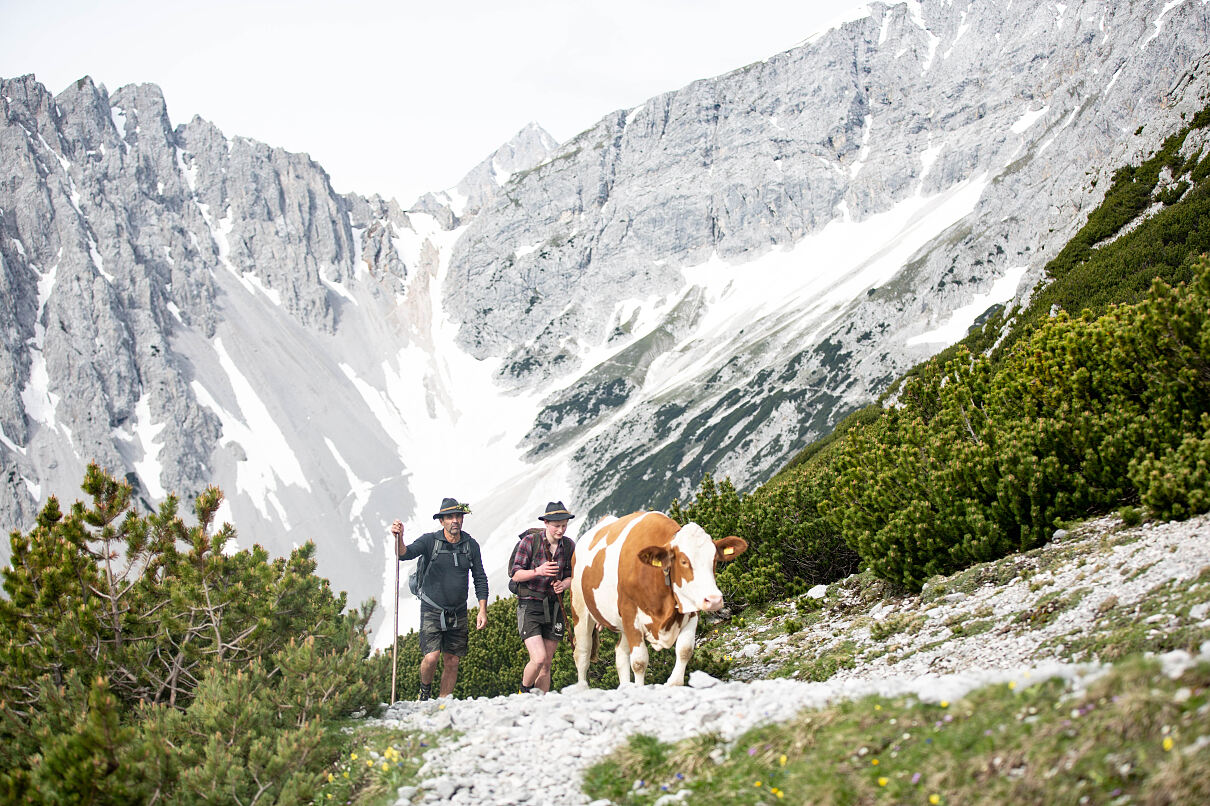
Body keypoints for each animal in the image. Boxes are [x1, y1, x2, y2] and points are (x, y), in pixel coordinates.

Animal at [568, 508, 745, 682]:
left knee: (620, 653)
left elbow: (685, 650)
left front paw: (674, 683)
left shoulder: (691, 609)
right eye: (683, 561)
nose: (714, 600)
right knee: (582, 654)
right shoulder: (630, 614)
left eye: (714, 559)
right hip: (580, 610)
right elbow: (639, 662)